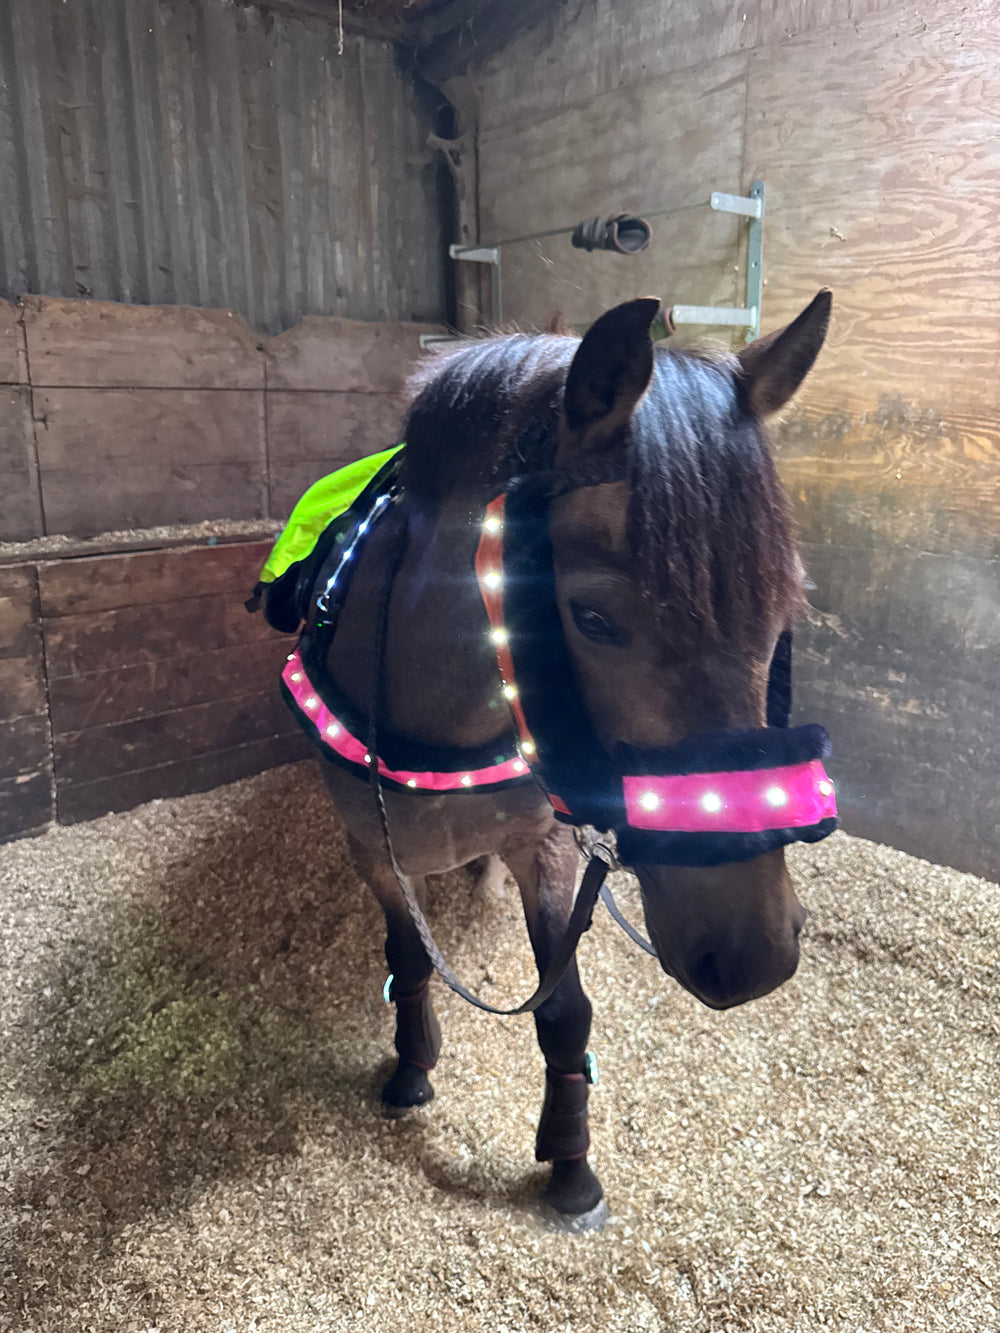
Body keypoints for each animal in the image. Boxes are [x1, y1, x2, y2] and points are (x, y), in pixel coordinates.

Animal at [290, 292, 833, 1229]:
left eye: (782, 608)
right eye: (593, 618)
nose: (754, 953)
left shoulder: (543, 846)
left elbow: (565, 1009)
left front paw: (571, 1160)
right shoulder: (371, 851)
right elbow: (407, 954)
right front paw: (411, 1064)